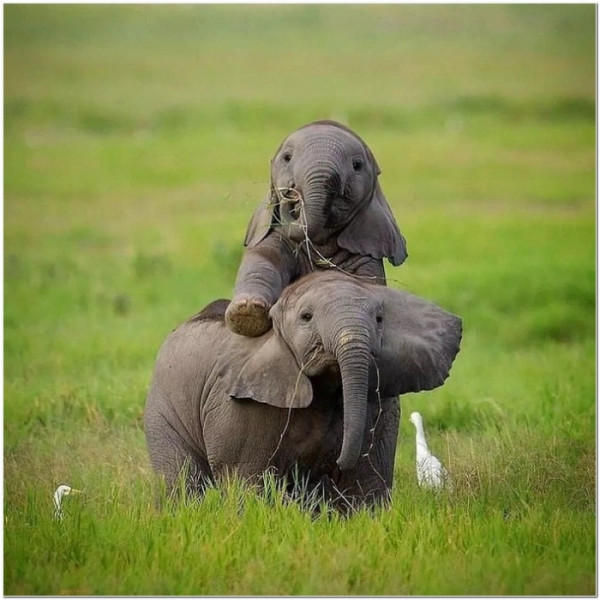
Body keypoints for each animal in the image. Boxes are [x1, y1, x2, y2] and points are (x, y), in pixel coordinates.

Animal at [145, 272, 464, 510]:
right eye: (306, 317)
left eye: (379, 319)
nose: (336, 461)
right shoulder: (240, 406)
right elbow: (247, 480)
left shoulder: (380, 401)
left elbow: (365, 480)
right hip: (163, 407)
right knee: (182, 481)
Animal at [225, 119, 408, 340]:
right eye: (287, 158)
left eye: (357, 165)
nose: (290, 193)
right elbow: (264, 260)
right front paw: (247, 313)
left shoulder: (366, 252)